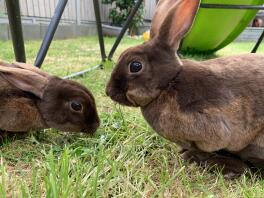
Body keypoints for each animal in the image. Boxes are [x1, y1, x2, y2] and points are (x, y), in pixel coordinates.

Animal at [106, 0, 264, 176]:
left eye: (135, 66)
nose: (109, 91)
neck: (169, 82)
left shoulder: (213, 132)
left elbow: (208, 147)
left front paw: (191, 156)